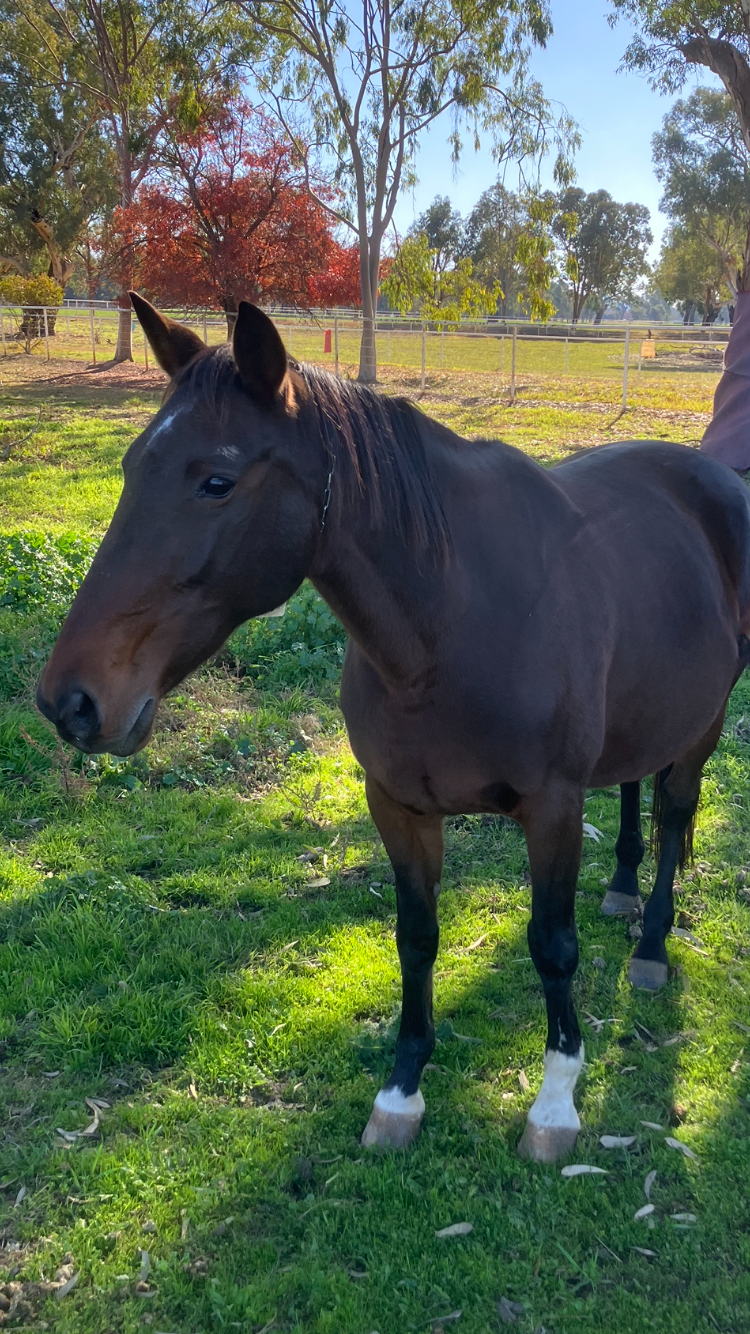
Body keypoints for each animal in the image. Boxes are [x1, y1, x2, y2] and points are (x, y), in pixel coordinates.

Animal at [37, 294, 750, 1163]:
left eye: (216, 481)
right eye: (134, 466)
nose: (69, 701)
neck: (451, 620)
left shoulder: (552, 807)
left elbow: (552, 944)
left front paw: (554, 1105)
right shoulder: (399, 806)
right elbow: (416, 937)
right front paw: (402, 1092)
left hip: (705, 720)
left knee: (675, 809)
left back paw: (649, 944)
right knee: (635, 788)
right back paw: (620, 892)